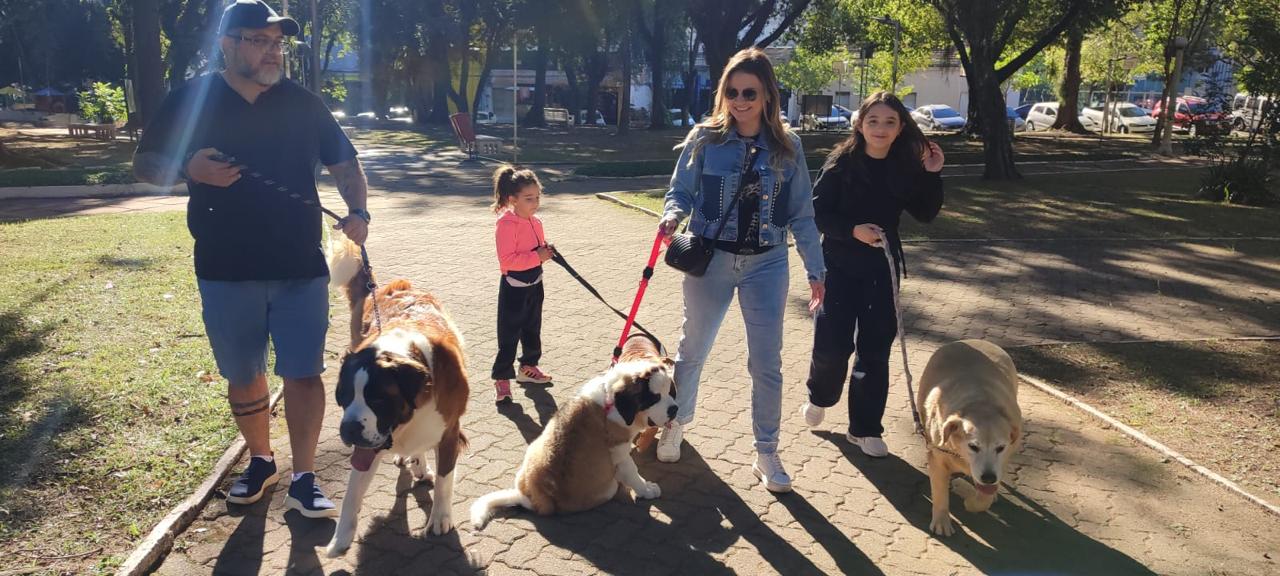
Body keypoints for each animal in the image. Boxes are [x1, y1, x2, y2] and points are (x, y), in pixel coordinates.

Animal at [323, 235, 469, 557]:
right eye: (344, 397)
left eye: (378, 399)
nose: (349, 429)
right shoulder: (368, 445)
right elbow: (351, 492)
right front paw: (340, 538)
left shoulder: (449, 430)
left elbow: (445, 479)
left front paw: (440, 518)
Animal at [470, 334, 677, 529]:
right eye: (654, 398)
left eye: (670, 392)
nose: (675, 409)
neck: (611, 400)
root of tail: (532, 500)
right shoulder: (619, 454)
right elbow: (633, 472)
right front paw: (647, 489)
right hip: (606, 486)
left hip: (532, 450)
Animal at [916, 339, 1022, 537]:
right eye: (973, 446)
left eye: (1000, 448)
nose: (988, 477)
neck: (981, 402)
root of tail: (974, 340)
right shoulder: (937, 456)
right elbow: (940, 492)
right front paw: (942, 521)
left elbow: (984, 497)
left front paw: (973, 503)